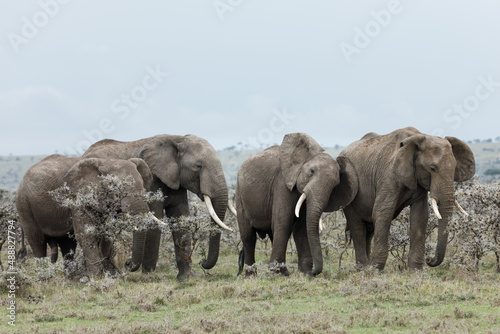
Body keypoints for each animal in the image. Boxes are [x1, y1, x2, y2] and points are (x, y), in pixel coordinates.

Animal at [16, 154, 162, 276]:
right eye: (117, 189)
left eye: (143, 187)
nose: (127, 263)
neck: (107, 161)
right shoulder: (77, 195)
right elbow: (86, 233)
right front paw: (96, 277)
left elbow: (106, 234)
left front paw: (106, 273)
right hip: (24, 205)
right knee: (37, 243)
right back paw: (44, 278)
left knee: (67, 244)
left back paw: (70, 277)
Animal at [81, 134, 230, 280]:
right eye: (198, 166)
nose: (202, 262)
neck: (177, 138)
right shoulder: (152, 180)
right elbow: (155, 219)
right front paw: (148, 277)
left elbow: (180, 218)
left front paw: (187, 278)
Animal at [235, 133, 358, 276]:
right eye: (311, 171)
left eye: (336, 185)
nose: (314, 271)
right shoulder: (282, 184)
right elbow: (284, 222)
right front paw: (278, 273)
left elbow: (301, 227)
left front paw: (304, 273)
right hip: (240, 194)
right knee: (248, 235)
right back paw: (251, 275)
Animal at [338, 126, 474, 270]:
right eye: (432, 168)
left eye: (454, 169)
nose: (429, 259)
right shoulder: (389, 176)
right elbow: (382, 212)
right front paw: (376, 270)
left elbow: (420, 216)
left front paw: (416, 271)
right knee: (358, 228)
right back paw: (363, 268)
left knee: (368, 230)